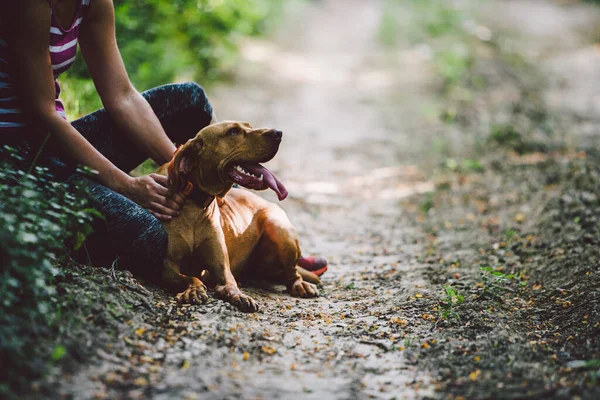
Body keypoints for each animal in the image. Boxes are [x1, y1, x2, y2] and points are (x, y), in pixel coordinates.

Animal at [155, 122, 324, 312]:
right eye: (233, 131)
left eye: (248, 126)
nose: (278, 133)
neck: (195, 204)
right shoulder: (167, 267)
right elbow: (188, 277)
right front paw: (193, 290)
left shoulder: (222, 269)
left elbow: (230, 284)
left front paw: (240, 296)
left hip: (279, 228)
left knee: (292, 273)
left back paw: (299, 284)